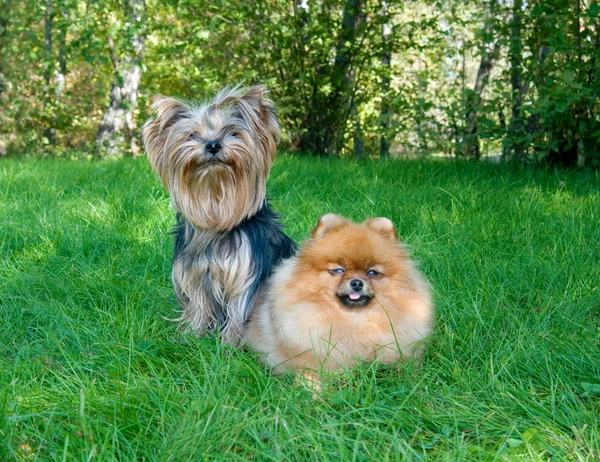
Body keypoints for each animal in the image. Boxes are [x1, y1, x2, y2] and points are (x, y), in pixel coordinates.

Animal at [144, 85, 298, 342]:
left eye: (233, 133)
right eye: (192, 135)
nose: (213, 144)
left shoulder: (245, 271)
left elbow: (239, 307)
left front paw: (230, 342)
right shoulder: (195, 272)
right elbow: (199, 303)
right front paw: (192, 334)